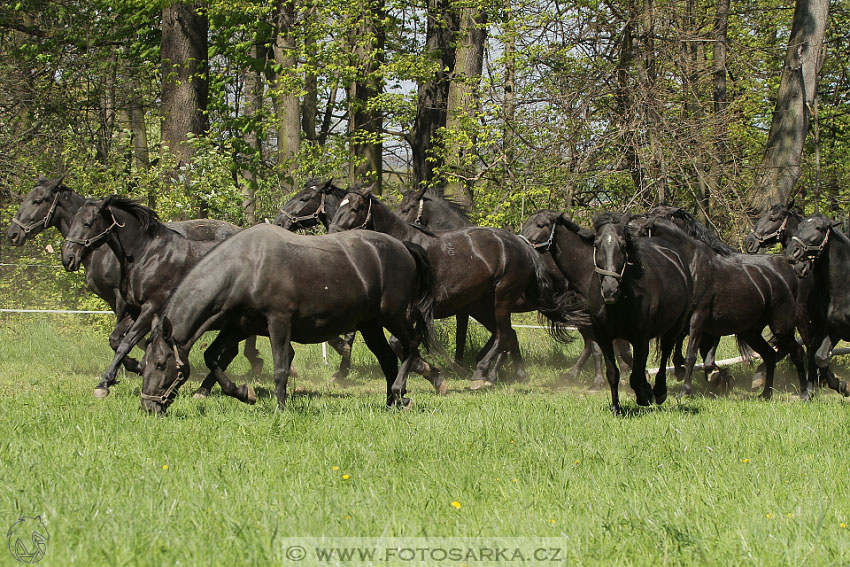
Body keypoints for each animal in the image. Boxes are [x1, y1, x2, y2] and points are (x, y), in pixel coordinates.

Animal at [60, 197, 255, 402]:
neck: (148, 256)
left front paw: (105, 384)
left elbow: (125, 343)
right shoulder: (134, 309)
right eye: (73, 222)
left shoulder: (151, 308)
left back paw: (205, 390)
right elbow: (115, 340)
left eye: (87, 223)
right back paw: (204, 390)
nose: (68, 258)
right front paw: (129, 370)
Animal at [140, 224, 438, 414]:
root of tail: (404, 247)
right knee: (388, 360)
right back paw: (392, 403)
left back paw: (400, 393)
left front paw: (280, 410)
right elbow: (212, 357)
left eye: (160, 363)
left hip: (393, 316)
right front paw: (243, 393)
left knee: (412, 344)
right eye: (143, 365)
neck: (245, 268)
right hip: (371, 324)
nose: (148, 406)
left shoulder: (279, 323)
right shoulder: (239, 326)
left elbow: (280, 369)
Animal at [328, 189, 588, 388]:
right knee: (508, 335)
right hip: (486, 306)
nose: (331, 233)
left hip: (502, 299)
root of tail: (522, 245)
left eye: (355, 209)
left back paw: (482, 374)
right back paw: (510, 375)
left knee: (505, 335)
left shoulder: (411, 310)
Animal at [780, 215, 848, 398]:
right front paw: (841, 386)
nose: (792, 252)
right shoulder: (834, 329)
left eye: (819, 228)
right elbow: (820, 357)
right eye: (800, 226)